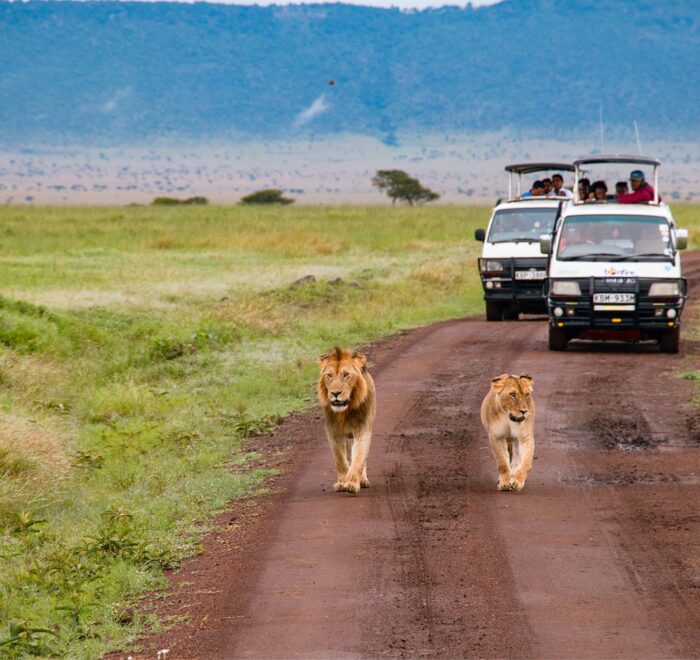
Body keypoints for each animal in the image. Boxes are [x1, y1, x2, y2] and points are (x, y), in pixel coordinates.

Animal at [316, 346, 374, 496]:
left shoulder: (362, 430)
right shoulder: (333, 432)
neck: (344, 412)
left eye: (346, 374)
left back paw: (363, 480)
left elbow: (358, 458)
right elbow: (340, 460)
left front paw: (352, 483)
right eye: (329, 375)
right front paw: (342, 483)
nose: (335, 393)